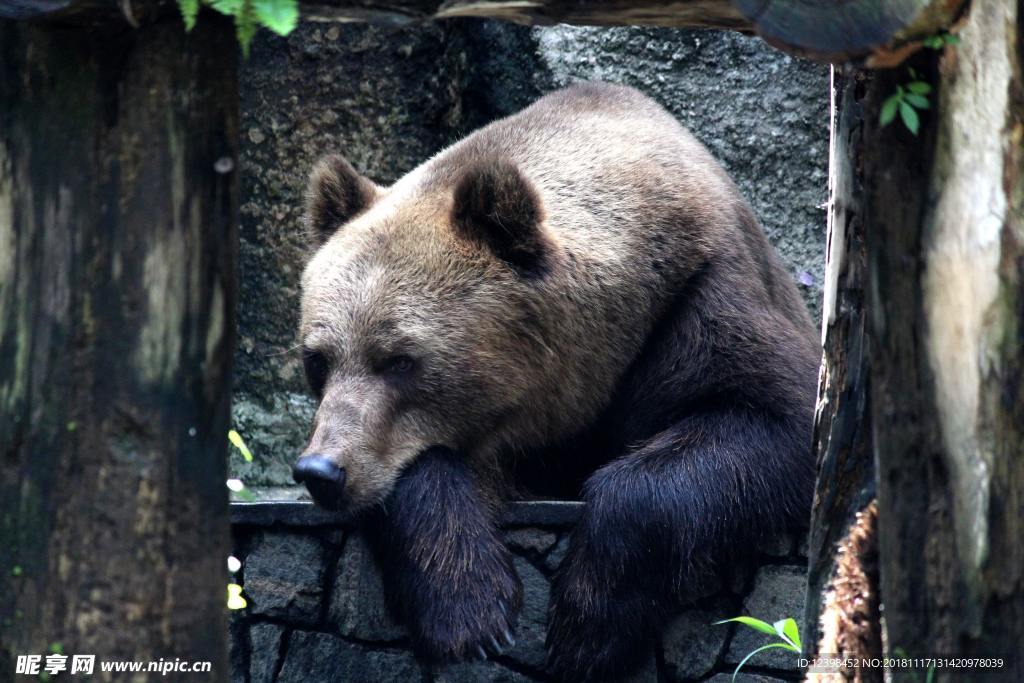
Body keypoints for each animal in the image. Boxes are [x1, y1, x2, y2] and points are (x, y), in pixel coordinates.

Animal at [292, 82, 819, 682]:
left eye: (400, 359)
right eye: (318, 359)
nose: (321, 471)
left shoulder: (701, 296)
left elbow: (770, 417)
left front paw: (586, 626)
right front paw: (472, 609)